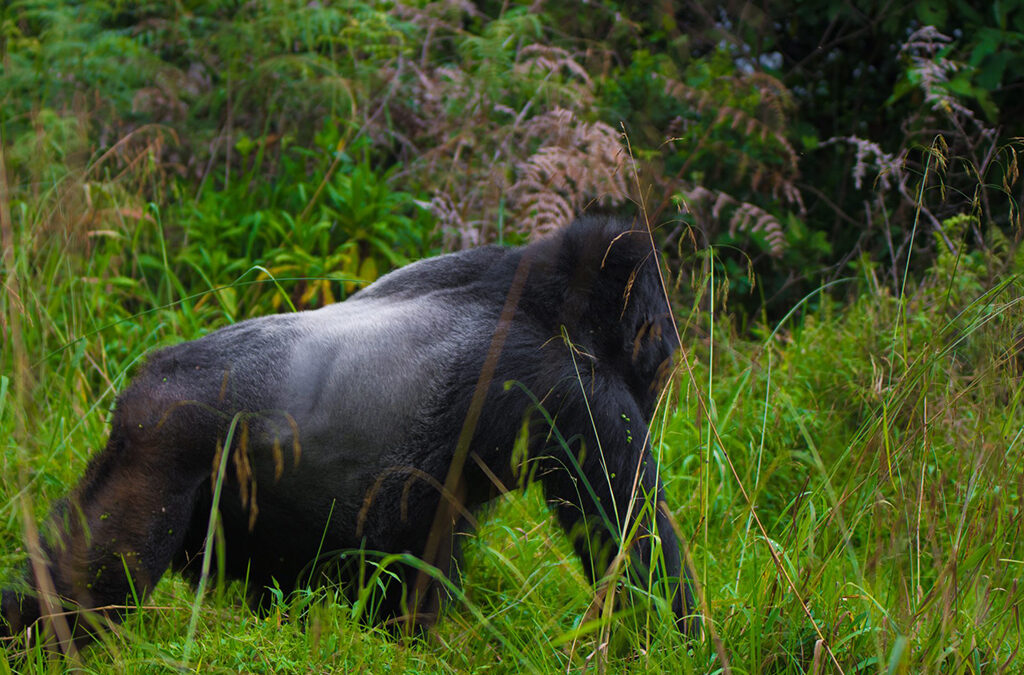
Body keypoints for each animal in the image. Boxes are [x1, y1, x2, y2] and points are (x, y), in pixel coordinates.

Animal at [1, 214, 698, 648]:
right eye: (658, 343)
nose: (666, 368)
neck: (551, 298)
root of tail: (137, 398)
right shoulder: (577, 394)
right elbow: (637, 554)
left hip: (132, 461)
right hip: (161, 457)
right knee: (92, 593)